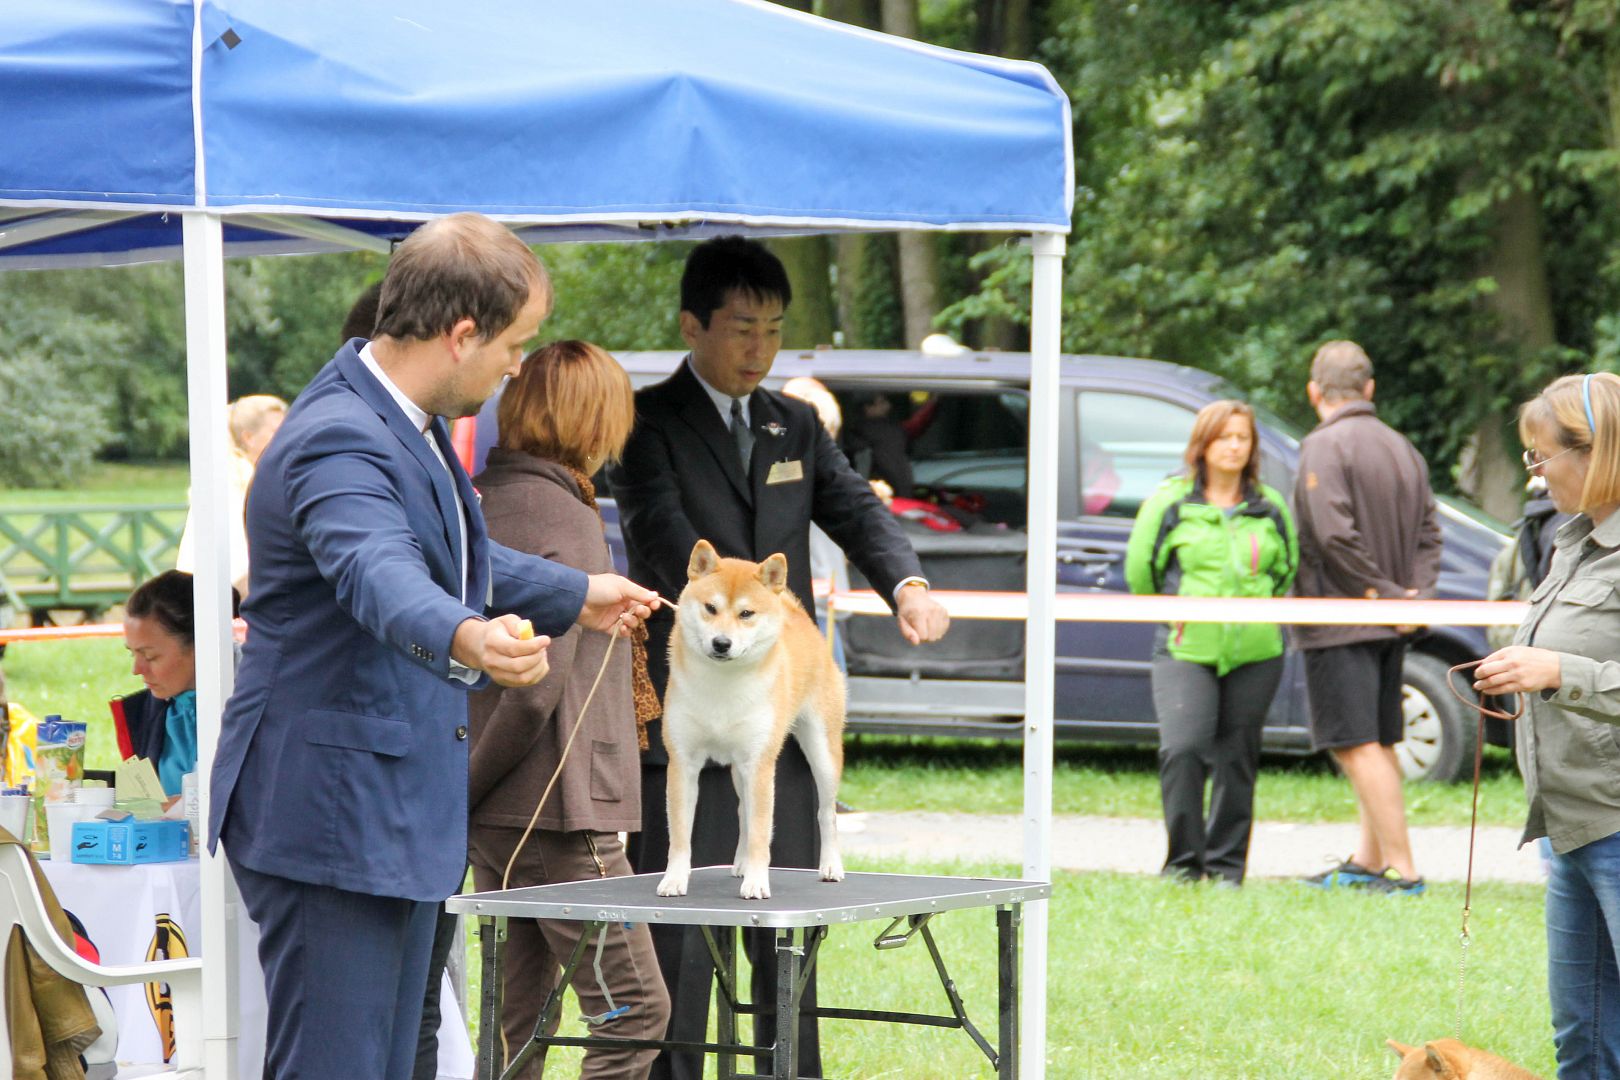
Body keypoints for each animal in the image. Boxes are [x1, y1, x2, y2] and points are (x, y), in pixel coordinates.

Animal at [654, 540, 848, 906]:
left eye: (746, 614)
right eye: (710, 608)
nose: (722, 643)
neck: (722, 684)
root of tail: (801, 619)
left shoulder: (759, 763)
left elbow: (761, 832)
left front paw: (757, 883)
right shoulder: (683, 762)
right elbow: (680, 835)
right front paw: (674, 879)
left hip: (821, 753)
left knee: (826, 813)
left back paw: (830, 865)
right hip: (738, 770)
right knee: (743, 812)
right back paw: (741, 863)